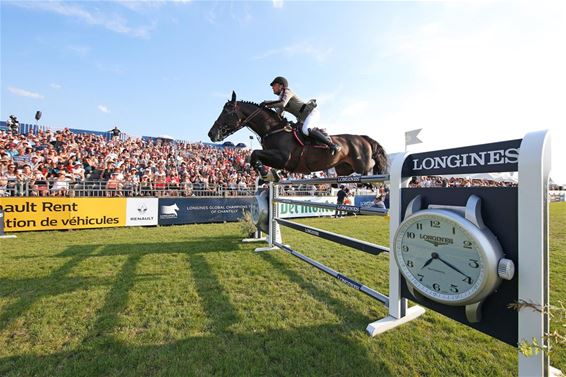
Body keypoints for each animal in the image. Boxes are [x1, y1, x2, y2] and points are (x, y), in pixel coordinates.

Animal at [210, 90, 390, 180]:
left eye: (226, 112)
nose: (211, 134)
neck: (273, 129)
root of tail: (363, 138)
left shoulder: (283, 158)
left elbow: (255, 153)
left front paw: (265, 174)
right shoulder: (276, 158)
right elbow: (253, 156)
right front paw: (268, 174)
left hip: (361, 165)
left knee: (372, 165)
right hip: (343, 169)